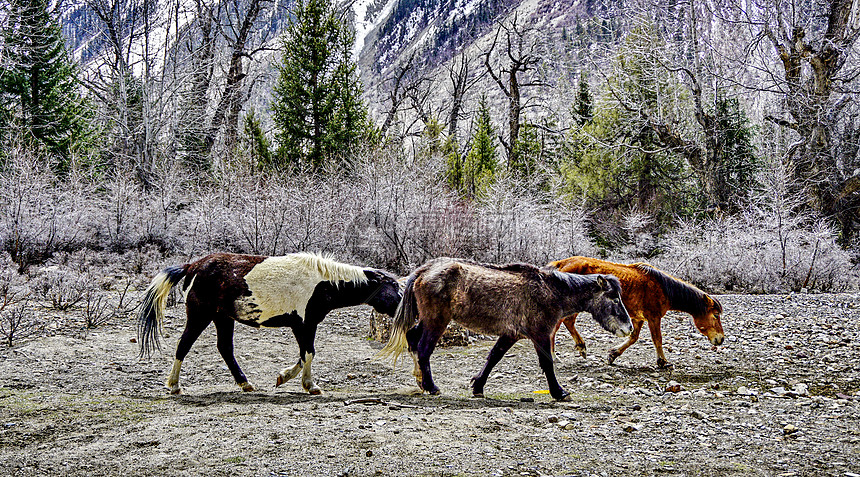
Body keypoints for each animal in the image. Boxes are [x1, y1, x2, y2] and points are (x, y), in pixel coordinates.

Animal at [136, 253, 402, 394]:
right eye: (394, 287)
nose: (405, 308)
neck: (323, 283)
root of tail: (193, 265)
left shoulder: (305, 325)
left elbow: (305, 354)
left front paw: (284, 377)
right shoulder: (304, 325)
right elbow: (309, 353)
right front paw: (310, 385)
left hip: (223, 318)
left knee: (225, 349)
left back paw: (245, 383)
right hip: (200, 316)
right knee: (184, 345)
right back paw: (174, 386)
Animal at [376, 258, 632, 400]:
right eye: (614, 298)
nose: (628, 327)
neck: (552, 291)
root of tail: (423, 271)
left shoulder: (511, 334)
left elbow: (493, 357)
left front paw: (478, 386)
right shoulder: (540, 333)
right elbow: (547, 363)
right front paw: (559, 392)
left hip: (430, 320)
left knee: (412, 340)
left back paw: (421, 381)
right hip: (437, 321)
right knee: (423, 349)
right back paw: (431, 386)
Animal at [548, 256, 724, 368]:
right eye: (715, 315)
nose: (721, 339)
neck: (663, 288)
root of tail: (561, 264)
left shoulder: (638, 319)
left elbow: (633, 337)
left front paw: (613, 355)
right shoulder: (654, 317)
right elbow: (657, 339)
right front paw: (663, 362)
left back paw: (578, 348)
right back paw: (559, 354)